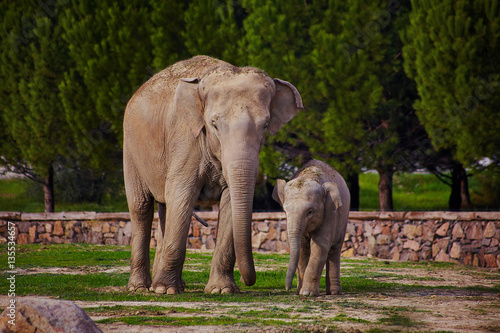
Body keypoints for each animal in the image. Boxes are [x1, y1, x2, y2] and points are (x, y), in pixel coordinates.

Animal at [124, 56, 304, 294]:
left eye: (265, 125)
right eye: (214, 124)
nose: (249, 281)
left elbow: (228, 202)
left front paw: (222, 290)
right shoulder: (185, 139)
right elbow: (182, 195)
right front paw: (166, 291)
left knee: (164, 207)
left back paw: (163, 286)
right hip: (130, 147)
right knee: (141, 207)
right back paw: (141, 288)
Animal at [272, 160, 350, 294]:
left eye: (310, 212)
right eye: (285, 211)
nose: (287, 288)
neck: (310, 176)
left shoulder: (330, 212)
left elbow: (319, 245)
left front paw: (307, 293)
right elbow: (303, 247)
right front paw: (301, 292)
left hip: (343, 218)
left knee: (334, 249)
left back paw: (334, 292)